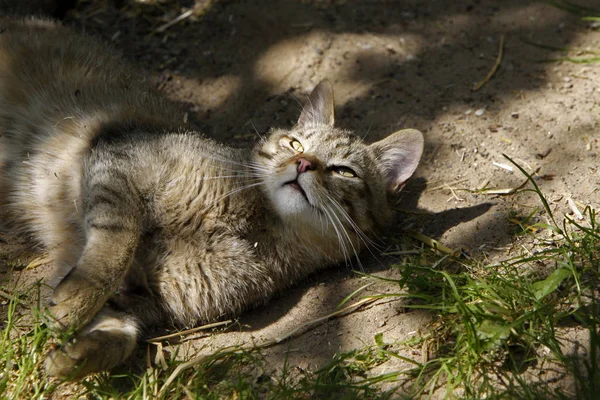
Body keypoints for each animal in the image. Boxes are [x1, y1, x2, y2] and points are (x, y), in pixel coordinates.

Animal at [0, 16, 422, 378]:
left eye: (343, 171)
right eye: (295, 144)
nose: (303, 163)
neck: (257, 223)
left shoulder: (143, 298)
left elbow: (123, 335)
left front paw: (74, 354)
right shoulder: (119, 159)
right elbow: (115, 246)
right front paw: (77, 300)